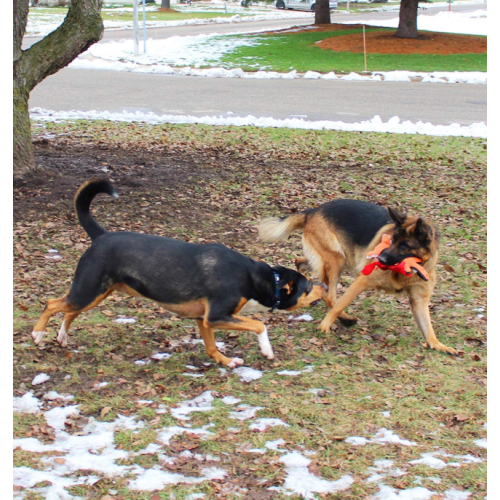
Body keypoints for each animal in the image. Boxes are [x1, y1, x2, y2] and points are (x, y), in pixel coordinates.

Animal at [32, 180, 328, 368]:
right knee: (52, 304)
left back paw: (62, 337)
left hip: (96, 293)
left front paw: (226, 361)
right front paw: (266, 350)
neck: (259, 278)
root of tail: (101, 235)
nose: (325, 287)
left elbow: (211, 346)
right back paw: (37, 334)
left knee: (69, 311)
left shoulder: (203, 320)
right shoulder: (217, 316)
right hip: (89, 290)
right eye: (307, 287)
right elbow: (258, 325)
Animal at [258, 199, 458, 356]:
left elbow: (428, 326)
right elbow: (339, 305)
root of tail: (312, 211)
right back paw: (344, 318)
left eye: (405, 245)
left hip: (329, 260)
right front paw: (325, 326)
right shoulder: (362, 280)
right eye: (392, 240)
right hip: (337, 260)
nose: (380, 258)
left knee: (301, 264)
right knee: (330, 296)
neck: (405, 271)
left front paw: (438, 344)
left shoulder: (419, 300)